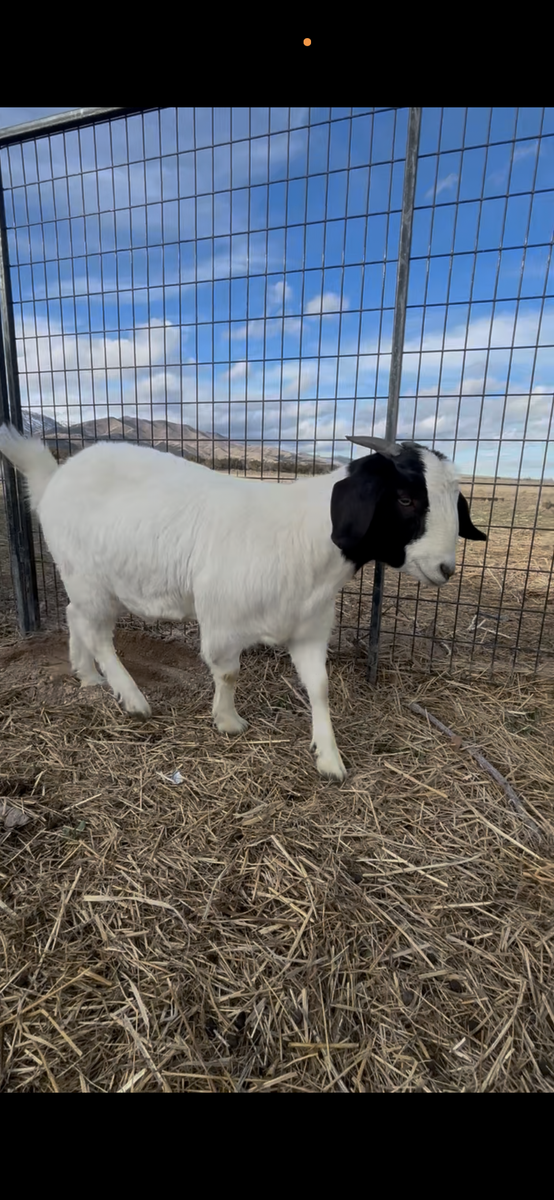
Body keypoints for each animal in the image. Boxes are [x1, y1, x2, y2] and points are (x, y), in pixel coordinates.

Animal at [0, 425, 486, 780]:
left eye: (455, 501)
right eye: (405, 498)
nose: (445, 568)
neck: (305, 536)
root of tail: (53, 477)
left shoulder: (309, 629)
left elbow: (320, 687)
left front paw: (329, 757)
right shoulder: (222, 618)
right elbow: (228, 671)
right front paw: (228, 722)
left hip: (86, 582)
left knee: (74, 617)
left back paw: (87, 676)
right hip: (89, 578)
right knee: (97, 633)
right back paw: (132, 697)